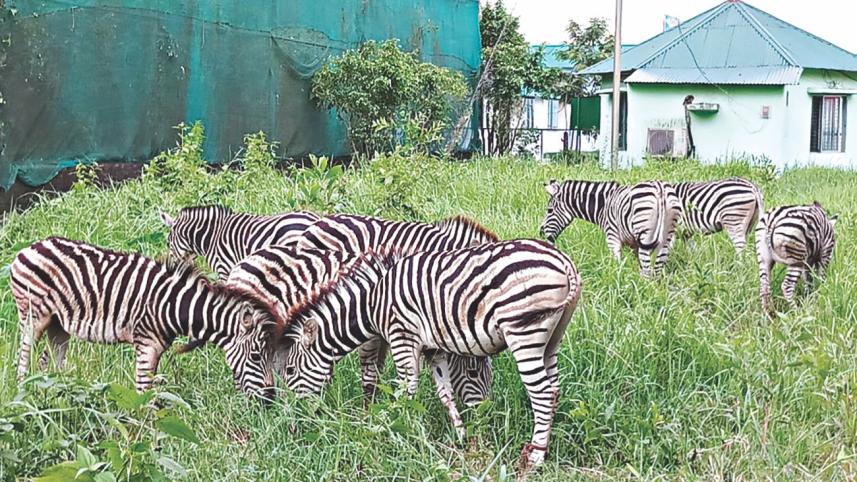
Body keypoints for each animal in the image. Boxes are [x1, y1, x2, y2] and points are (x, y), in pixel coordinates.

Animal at [11, 237, 277, 401]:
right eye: (256, 356)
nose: (270, 399)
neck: (174, 305)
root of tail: (29, 248)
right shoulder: (146, 345)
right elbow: (142, 392)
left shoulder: (157, 348)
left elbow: (150, 389)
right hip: (33, 316)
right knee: (23, 357)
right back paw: (23, 395)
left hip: (58, 323)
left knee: (50, 360)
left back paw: (58, 394)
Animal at [278, 240, 582, 472]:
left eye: (289, 372)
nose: (294, 424)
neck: (373, 303)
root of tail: (563, 261)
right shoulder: (434, 350)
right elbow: (445, 393)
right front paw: (460, 436)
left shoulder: (402, 335)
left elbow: (406, 390)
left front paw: (395, 431)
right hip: (552, 338)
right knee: (554, 388)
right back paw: (542, 446)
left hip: (525, 334)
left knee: (542, 393)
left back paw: (536, 457)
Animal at [540, 179, 682, 277]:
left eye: (549, 210)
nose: (541, 232)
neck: (603, 206)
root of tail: (660, 189)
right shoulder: (635, 244)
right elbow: (638, 266)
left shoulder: (612, 236)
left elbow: (617, 264)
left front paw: (617, 282)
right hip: (666, 238)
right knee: (656, 270)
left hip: (646, 237)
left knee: (648, 271)